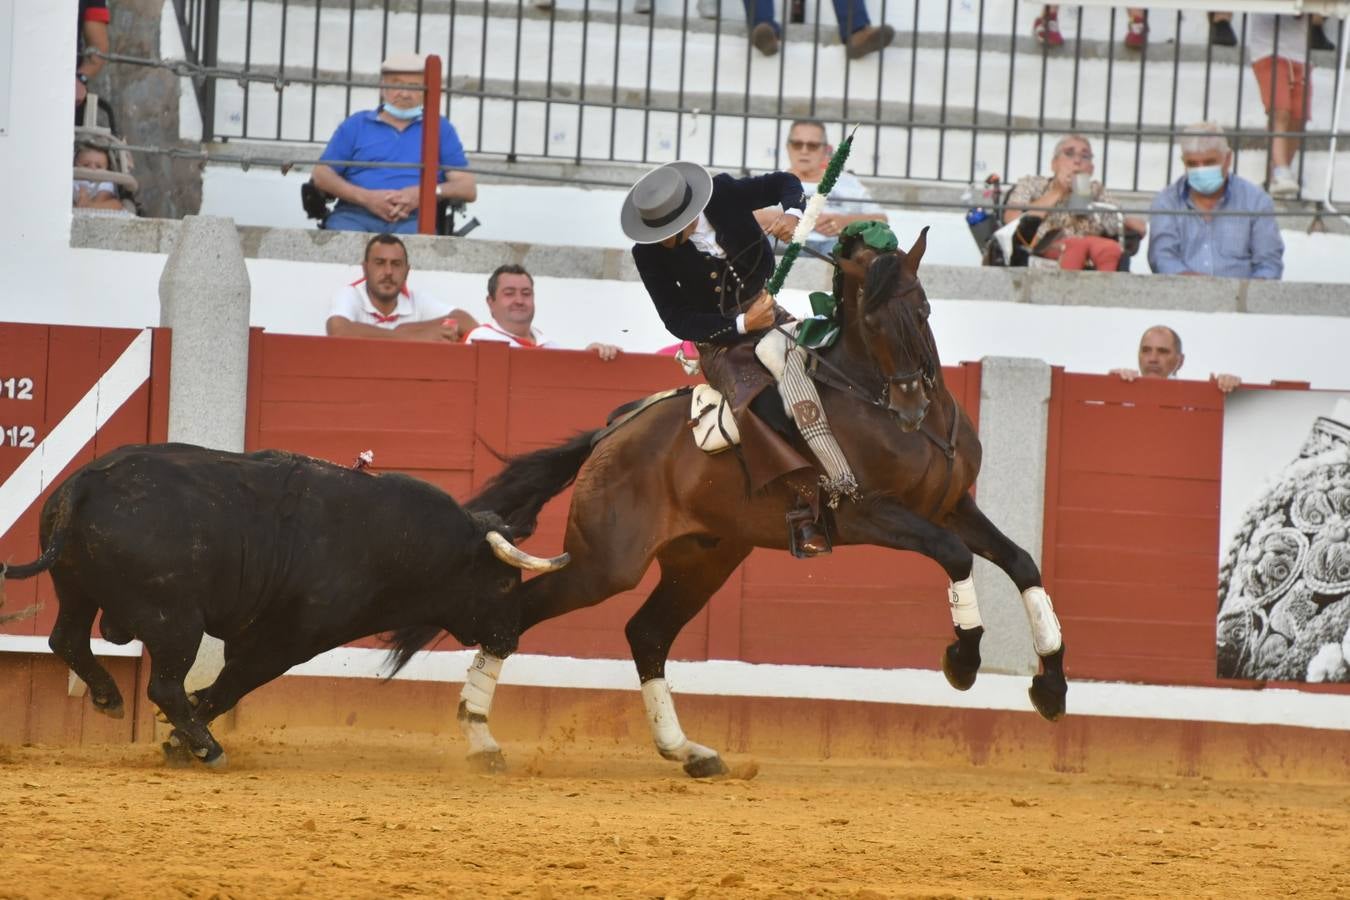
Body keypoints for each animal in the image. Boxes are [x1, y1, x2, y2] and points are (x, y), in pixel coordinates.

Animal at [0, 442, 567, 766]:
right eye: (503, 584)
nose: (509, 640)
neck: (397, 540)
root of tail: (86, 481)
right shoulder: (284, 641)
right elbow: (229, 687)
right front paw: (183, 741)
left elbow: (220, 688)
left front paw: (178, 737)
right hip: (174, 619)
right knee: (162, 683)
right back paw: (207, 748)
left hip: (75, 589)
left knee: (67, 639)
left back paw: (109, 698)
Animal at [394, 223, 1069, 777]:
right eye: (874, 323)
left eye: (924, 307)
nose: (910, 406)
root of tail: (611, 435)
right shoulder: (869, 512)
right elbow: (955, 556)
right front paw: (962, 662)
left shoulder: (951, 505)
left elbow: (1021, 562)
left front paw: (1052, 689)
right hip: (606, 565)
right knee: (523, 613)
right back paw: (481, 738)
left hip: (705, 558)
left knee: (647, 633)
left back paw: (687, 750)